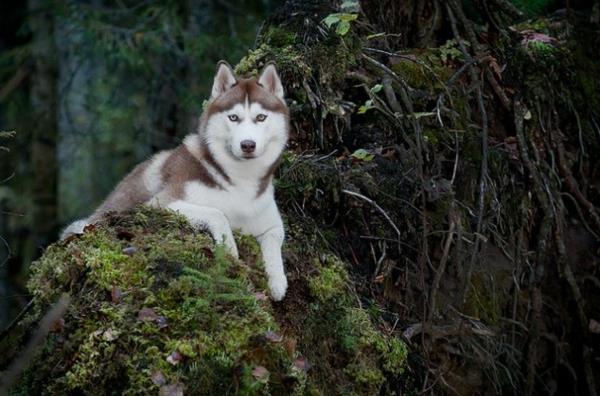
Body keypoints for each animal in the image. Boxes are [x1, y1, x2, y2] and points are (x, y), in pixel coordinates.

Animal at [63, 62, 290, 300]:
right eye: (234, 117)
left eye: (261, 117)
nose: (247, 145)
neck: (241, 180)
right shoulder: (162, 202)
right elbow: (218, 214)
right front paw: (229, 249)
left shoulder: (271, 221)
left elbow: (275, 241)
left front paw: (278, 281)